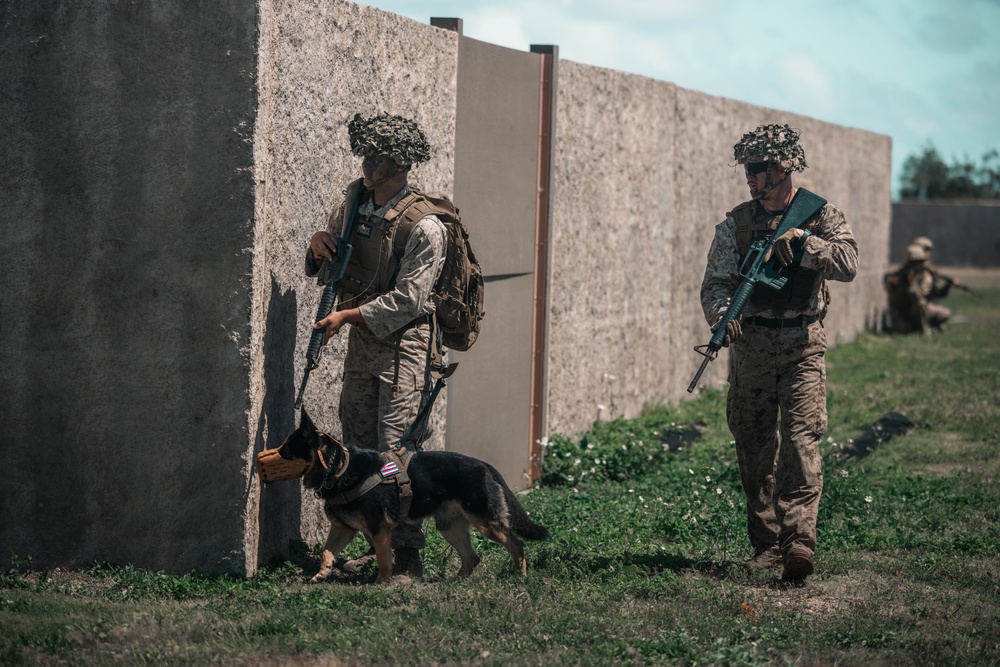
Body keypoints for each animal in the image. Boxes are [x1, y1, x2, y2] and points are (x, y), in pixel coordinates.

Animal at [278, 408, 552, 584]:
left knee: (517, 544)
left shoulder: (379, 530)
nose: (273, 455)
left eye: (288, 449)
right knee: (472, 557)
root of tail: (485, 465)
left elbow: (384, 559)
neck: (339, 468)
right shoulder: (343, 529)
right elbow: (326, 552)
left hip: (486, 523)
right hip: (450, 528)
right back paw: (454, 582)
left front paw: (381, 583)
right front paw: (322, 573)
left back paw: (520, 576)